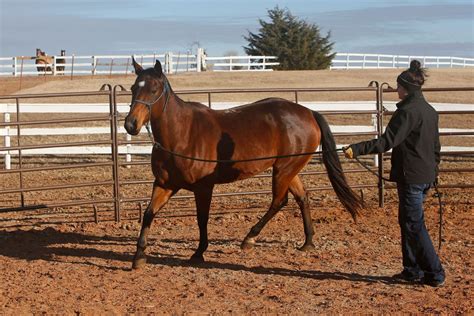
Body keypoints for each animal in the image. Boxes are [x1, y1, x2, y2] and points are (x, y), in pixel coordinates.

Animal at [125, 58, 362, 268]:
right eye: (133, 88)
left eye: (154, 89)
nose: (130, 124)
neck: (182, 134)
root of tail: (309, 113)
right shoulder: (164, 184)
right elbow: (148, 214)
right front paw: (139, 256)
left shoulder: (203, 188)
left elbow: (202, 218)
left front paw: (199, 252)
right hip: (289, 169)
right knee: (302, 198)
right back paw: (308, 242)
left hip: (283, 170)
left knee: (279, 201)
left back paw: (249, 238)